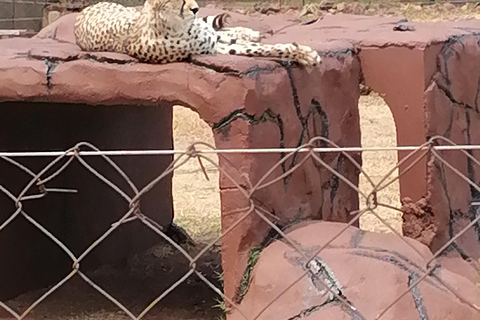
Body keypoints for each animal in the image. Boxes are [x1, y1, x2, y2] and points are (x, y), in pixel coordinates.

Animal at [74, 0, 322, 67]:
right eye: (180, 0)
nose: (195, 8)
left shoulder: (211, 41)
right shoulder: (214, 48)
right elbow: (260, 50)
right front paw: (304, 54)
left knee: (221, 30)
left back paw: (248, 31)